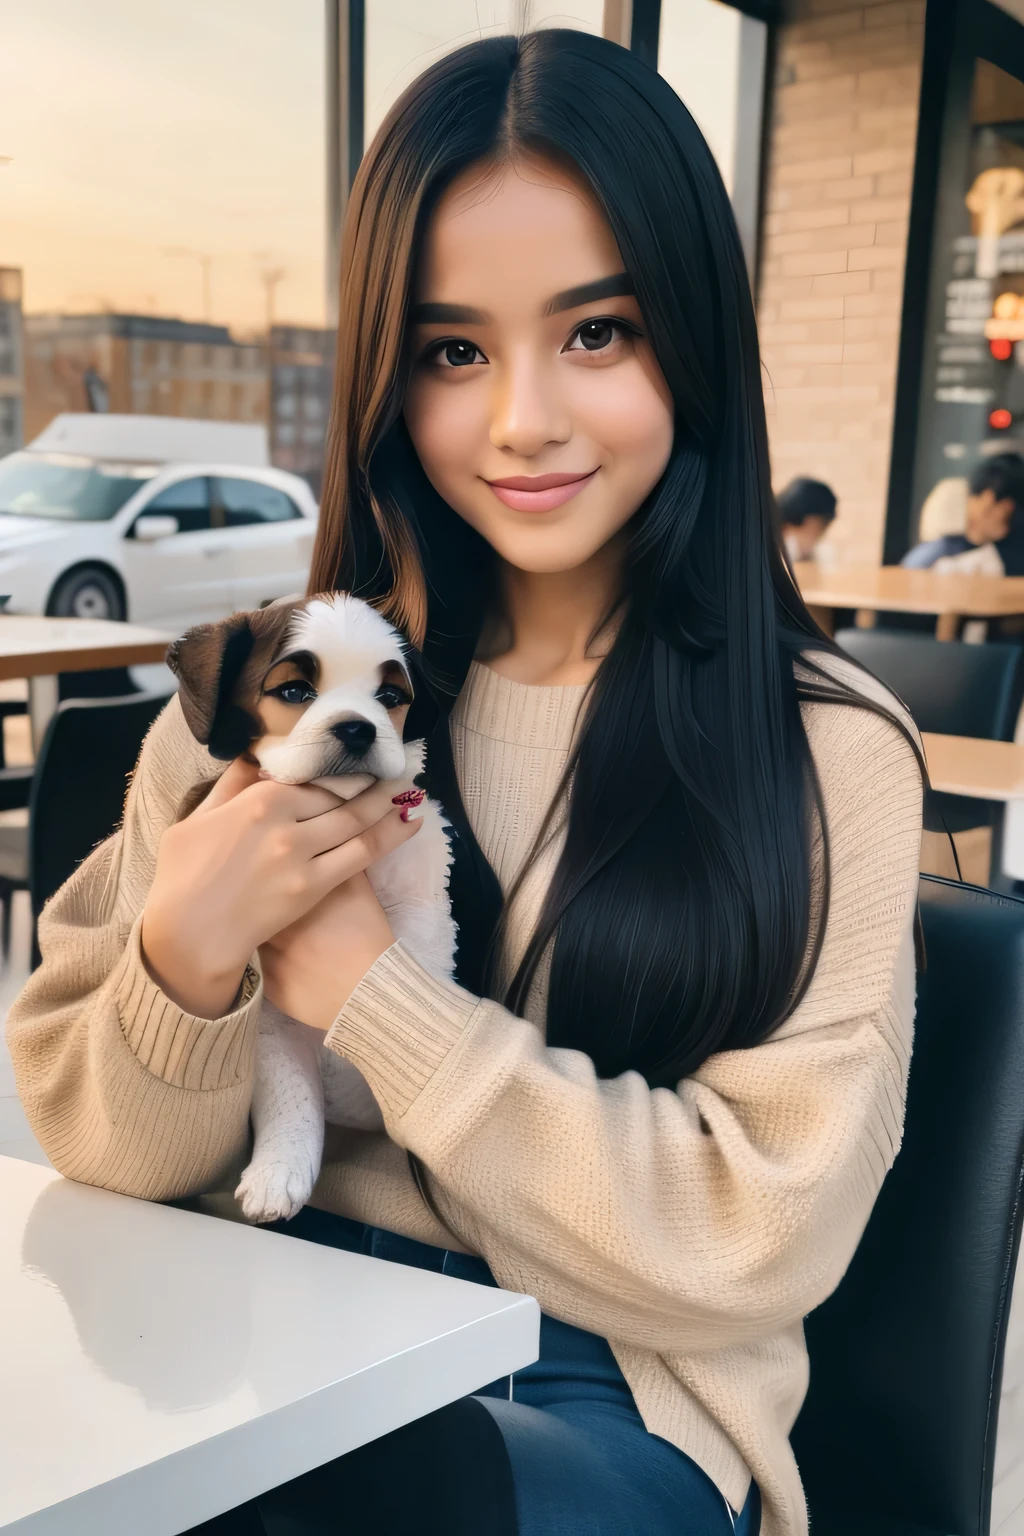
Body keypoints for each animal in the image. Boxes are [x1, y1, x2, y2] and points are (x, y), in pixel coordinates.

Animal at [168, 589, 457, 1222]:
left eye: (390, 698)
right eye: (296, 692)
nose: (357, 729)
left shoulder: (420, 900)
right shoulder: (273, 1025)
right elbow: (291, 1098)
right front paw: (279, 1172)